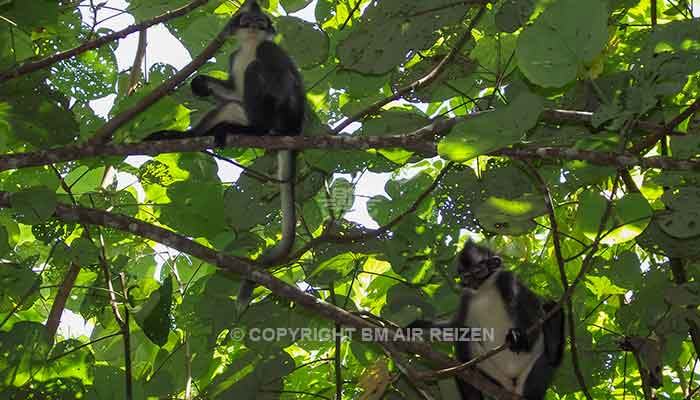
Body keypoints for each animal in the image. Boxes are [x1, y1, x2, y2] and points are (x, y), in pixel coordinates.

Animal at [408, 241, 568, 400]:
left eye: (478, 271)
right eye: (466, 276)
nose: (472, 283)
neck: (485, 290)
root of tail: (512, 387)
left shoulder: (507, 279)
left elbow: (533, 312)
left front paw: (518, 336)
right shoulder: (467, 297)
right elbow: (457, 326)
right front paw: (414, 328)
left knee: (550, 359)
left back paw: (552, 336)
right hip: (494, 376)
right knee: (464, 340)